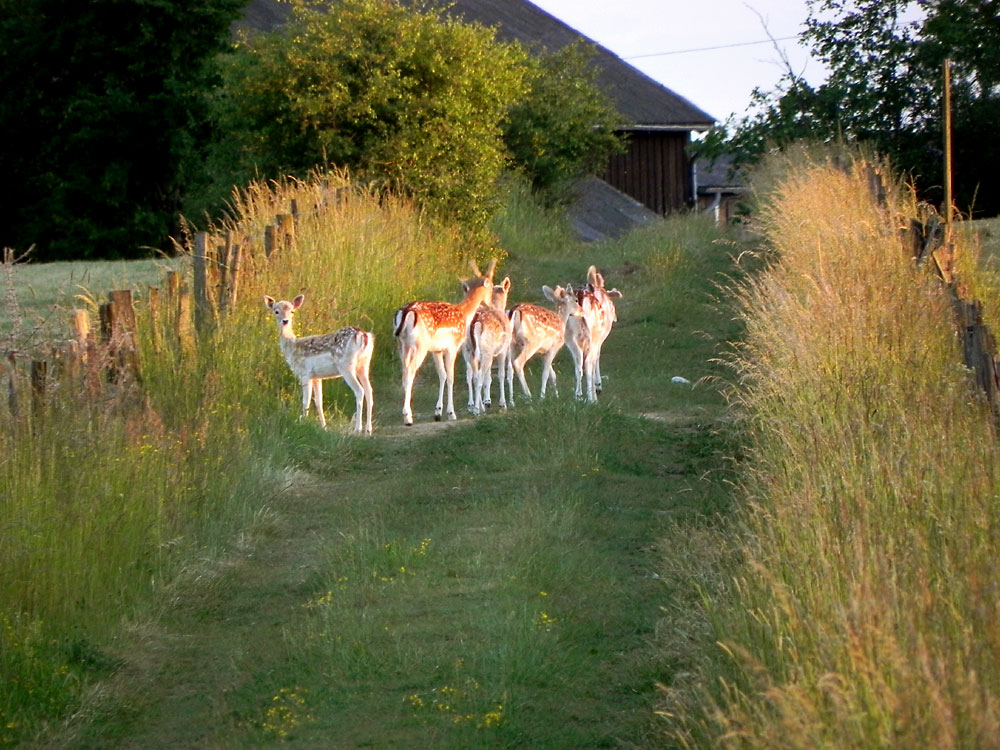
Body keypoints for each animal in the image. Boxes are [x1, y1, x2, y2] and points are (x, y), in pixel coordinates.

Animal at [264, 294, 374, 434]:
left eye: (292, 311)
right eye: (276, 311)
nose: (285, 321)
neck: (292, 348)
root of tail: (363, 335)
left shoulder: (304, 373)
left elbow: (305, 401)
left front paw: (302, 423)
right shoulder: (317, 377)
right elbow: (318, 402)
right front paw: (324, 427)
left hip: (346, 365)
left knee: (359, 390)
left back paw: (357, 428)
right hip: (364, 364)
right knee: (369, 390)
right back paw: (368, 429)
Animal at [392, 260, 498, 426]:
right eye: (492, 286)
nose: (491, 305)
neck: (464, 314)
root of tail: (405, 312)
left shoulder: (437, 350)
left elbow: (442, 375)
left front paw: (438, 412)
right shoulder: (452, 347)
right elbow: (451, 377)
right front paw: (451, 413)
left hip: (402, 345)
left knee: (404, 372)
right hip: (420, 346)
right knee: (410, 372)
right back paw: (408, 417)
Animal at [462, 276, 512, 418]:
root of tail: (476, 323)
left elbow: (488, 377)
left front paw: (487, 401)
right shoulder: (502, 350)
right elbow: (501, 374)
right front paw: (502, 404)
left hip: (470, 350)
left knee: (474, 376)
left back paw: (478, 407)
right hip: (486, 351)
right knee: (479, 376)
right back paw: (476, 410)